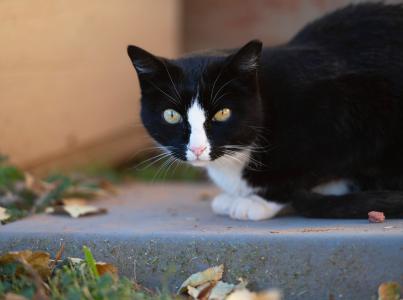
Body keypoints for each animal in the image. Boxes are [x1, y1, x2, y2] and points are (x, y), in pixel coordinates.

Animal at [127, 2, 403, 220]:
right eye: (171, 115)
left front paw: (257, 202)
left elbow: (300, 174)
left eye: (222, 113)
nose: (197, 149)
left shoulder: (349, 106)